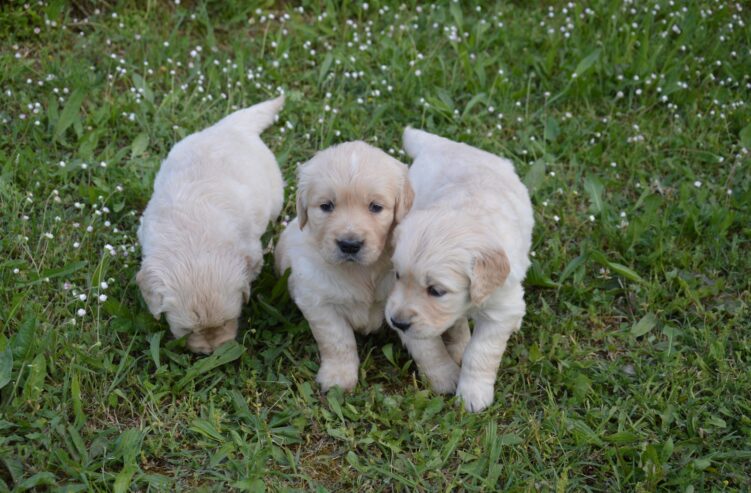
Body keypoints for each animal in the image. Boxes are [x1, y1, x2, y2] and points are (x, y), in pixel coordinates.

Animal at [137, 94, 286, 352]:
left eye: (228, 320)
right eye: (188, 330)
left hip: (275, 188)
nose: (212, 351)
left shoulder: (250, 248)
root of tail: (230, 126)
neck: (193, 239)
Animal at [274, 142, 412, 392]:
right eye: (326, 206)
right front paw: (338, 377)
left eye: (375, 207)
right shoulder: (318, 302)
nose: (349, 244)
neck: (361, 271)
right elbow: (338, 340)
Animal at [388, 128, 536, 412]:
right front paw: (444, 377)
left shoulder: (500, 306)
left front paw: (473, 395)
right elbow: (427, 347)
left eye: (436, 291)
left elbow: (480, 352)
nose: (397, 322)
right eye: (397, 276)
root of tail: (443, 144)